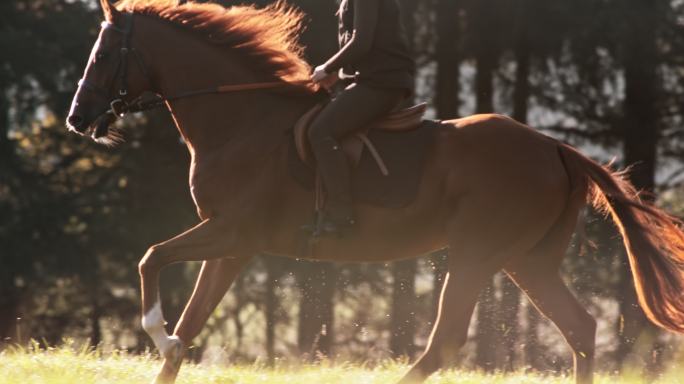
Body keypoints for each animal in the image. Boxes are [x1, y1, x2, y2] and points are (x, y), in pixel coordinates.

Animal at [67, 1, 684, 382]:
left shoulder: (230, 232)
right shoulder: (231, 246)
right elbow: (191, 319)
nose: (76, 119)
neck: (241, 119)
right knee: (579, 327)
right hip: (526, 260)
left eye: (103, 54)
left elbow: (151, 258)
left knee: (447, 341)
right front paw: (171, 347)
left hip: (478, 254)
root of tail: (556, 148)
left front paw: (159, 335)